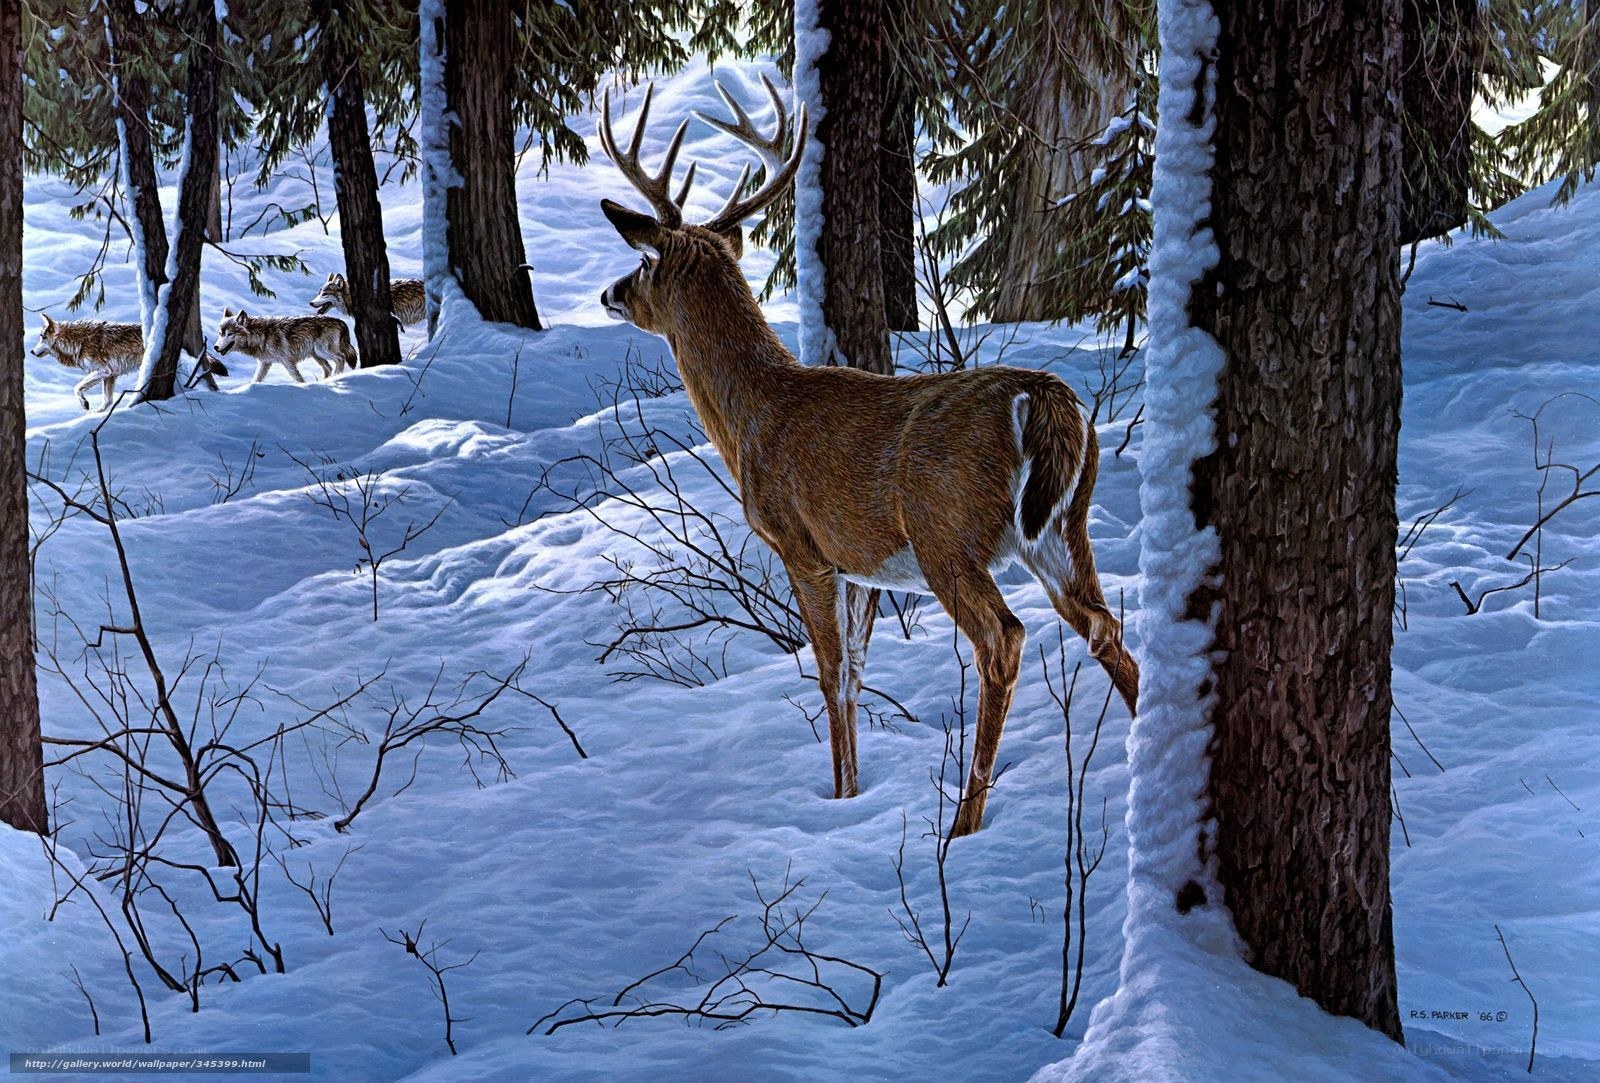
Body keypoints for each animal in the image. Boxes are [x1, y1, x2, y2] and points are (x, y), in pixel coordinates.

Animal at [214, 309, 357, 384]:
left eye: (230, 334)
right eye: (220, 334)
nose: (215, 347)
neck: (261, 335)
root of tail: (340, 321)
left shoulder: (287, 361)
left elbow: (297, 378)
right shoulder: (264, 363)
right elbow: (255, 380)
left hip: (322, 351)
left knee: (341, 358)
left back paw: (337, 378)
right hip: (317, 355)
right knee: (328, 367)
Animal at [596, 78, 1139, 837]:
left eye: (645, 262)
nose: (610, 291)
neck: (753, 415)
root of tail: (1044, 398)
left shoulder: (802, 544)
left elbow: (828, 672)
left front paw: (839, 795)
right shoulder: (860, 564)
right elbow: (854, 673)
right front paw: (853, 796)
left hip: (947, 532)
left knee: (1002, 639)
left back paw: (963, 825)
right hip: (1063, 527)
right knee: (1103, 627)